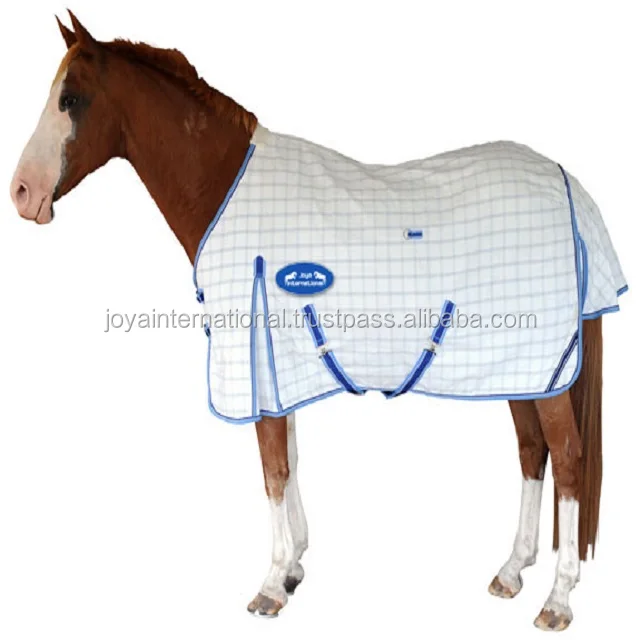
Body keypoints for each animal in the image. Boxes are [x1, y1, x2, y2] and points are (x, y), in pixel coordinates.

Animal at [10, 13, 626, 631]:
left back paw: (557, 599)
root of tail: (569, 186)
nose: (21, 193)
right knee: (532, 452)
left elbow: (272, 469)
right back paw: (511, 572)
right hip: (522, 371)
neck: (225, 190)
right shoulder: (278, 367)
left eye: (70, 98)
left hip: (544, 370)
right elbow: (289, 459)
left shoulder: (255, 362)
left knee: (568, 460)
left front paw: (270, 586)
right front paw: (293, 568)